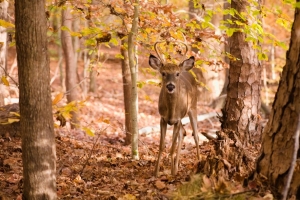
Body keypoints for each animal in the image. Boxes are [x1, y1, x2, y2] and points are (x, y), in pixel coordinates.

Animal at [149, 42, 200, 177]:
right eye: (163, 73)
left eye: (177, 74)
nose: (170, 86)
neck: (171, 111)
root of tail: (186, 71)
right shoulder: (163, 118)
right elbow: (162, 145)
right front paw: (156, 172)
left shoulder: (177, 119)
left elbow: (171, 147)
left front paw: (172, 173)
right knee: (183, 133)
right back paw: (176, 167)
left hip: (193, 107)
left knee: (196, 135)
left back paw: (199, 161)